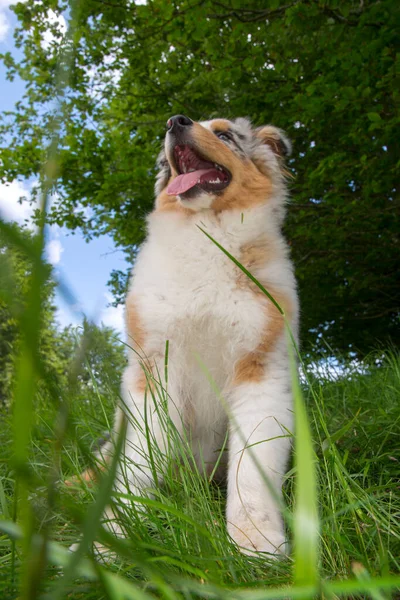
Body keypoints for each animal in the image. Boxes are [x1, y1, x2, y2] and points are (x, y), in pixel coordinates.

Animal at [90, 115, 298, 556]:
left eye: (224, 134)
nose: (175, 121)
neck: (207, 234)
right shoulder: (155, 369)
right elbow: (139, 464)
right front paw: (113, 537)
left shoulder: (259, 372)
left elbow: (251, 473)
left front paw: (254, 543)